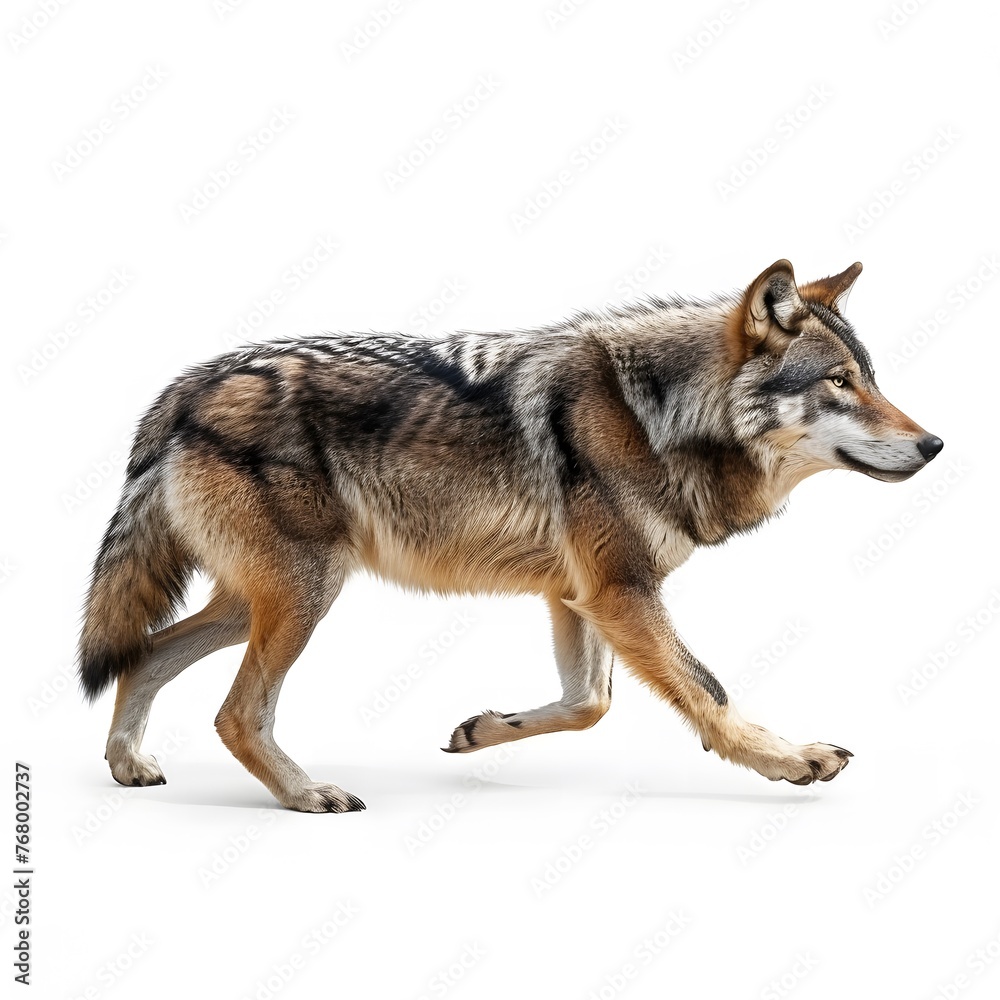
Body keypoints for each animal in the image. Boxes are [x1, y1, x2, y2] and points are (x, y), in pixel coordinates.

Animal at [78, 259, 943, 812]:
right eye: (840, 383)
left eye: (873, 378)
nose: (936, 445)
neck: (657, 416)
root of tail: (182, 389)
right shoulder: (622, 592)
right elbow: (707, 691)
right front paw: (790, 760)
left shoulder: (581, 595)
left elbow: (589, 703)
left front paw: (481, 732)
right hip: (301, 598)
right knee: (235, 712)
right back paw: (306, 794)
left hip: (260, 601)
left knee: (146, 652)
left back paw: (129, 765)